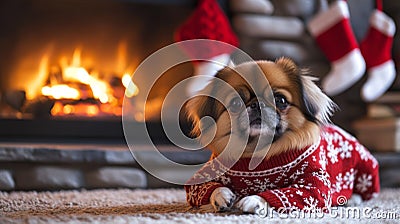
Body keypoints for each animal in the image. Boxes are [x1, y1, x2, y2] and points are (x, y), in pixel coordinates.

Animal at [184, 58, 378, 215]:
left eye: (280, 100)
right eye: (236, 103)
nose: (257, 104)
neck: (257, 151)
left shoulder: (314, 187)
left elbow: (283, 194)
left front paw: (254, 199)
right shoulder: (199, 180)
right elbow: (211, 188)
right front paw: (223, 196)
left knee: (365, 193)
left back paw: (351, 199)